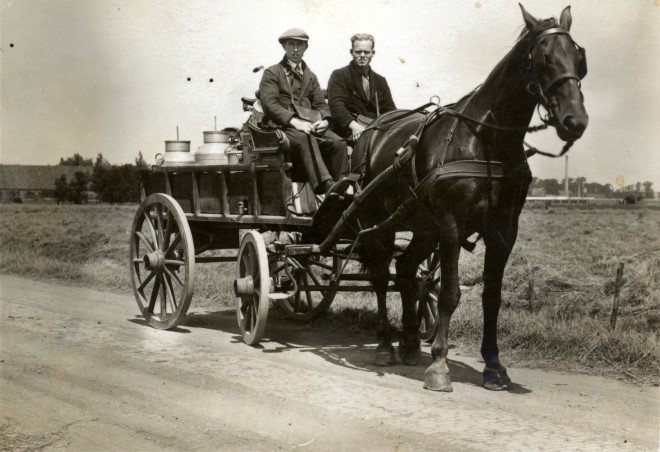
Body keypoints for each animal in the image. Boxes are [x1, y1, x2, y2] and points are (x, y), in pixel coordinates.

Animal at [350, 4, 588, 392]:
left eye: (579, 58)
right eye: (544, 58)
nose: (575, 121)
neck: (485, 140)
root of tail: (371, 129)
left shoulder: (504, 229)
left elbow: (492, 297)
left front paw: (494, 366)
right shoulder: (451, 226)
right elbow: (450, 293)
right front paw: (439, 365)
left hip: (421, 225)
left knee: (405, 271)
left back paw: (411, 343)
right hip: (375, 221)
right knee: (382, 276)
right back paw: (386, 345)